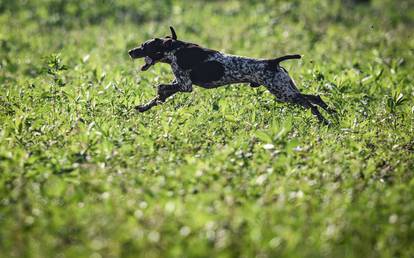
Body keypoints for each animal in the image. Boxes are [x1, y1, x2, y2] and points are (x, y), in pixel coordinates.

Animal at [129, 26, 336, 123]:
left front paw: (156, 96)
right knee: (314, 97)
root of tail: (273, 62)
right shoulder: (178, 83)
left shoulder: (185, 85)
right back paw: (330, 113)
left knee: (310, 102)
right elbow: (157, 97)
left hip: (283, 93)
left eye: (143, 46)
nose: (130, 52)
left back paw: (323, 119)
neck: (175, 48)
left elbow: (161, 88)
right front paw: (144, 107)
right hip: (285, 89)